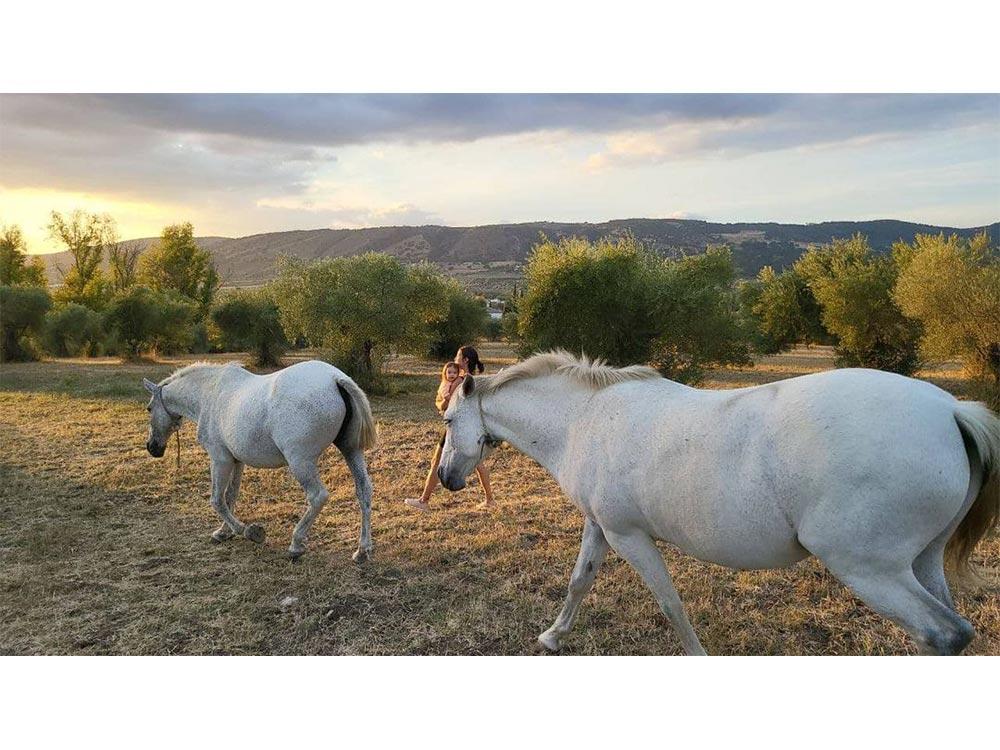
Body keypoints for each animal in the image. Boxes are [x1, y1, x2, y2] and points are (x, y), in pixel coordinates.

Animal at [142, 360, 377, 562]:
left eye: (149, 408)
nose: (152, 448)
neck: (210, 393)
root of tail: (335, 378)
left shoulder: (219, 459)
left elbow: (217, 500)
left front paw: (248, 531)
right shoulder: (236, 461)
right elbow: (230, 496)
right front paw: (224, 532)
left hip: (300, 462)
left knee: (318, 496)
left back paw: (296, 544)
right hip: (351, 450)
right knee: (363, 491)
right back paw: (362, 551)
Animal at [436, 350, 1000, 655]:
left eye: (447, 420)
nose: (445, 478)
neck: (586, 418)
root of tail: (950, 411)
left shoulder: (628, 536)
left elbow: (669, 602)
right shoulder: (600, 526)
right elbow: (580, 581)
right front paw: (553, 636)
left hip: (869, 570)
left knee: (942, 633)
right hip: (920, 563)